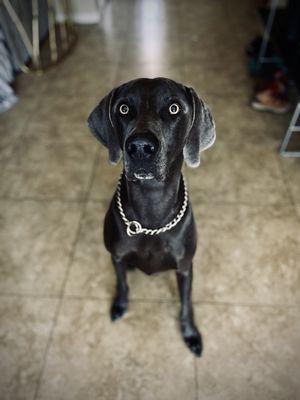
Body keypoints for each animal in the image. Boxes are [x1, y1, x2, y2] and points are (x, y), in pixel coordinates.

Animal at [87, 78, 216, 356]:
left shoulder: (185, 267)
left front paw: (190, 333)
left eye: (174, 108)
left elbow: (186, 302)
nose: (140, 147)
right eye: (124, 108)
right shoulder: (117, 257)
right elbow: (122, 284)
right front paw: (120, 305)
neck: (151, 208)